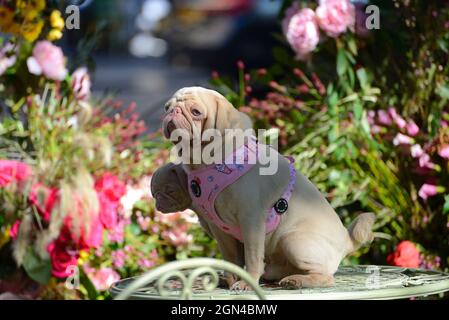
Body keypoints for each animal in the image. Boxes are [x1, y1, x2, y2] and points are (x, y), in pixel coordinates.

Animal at [158, 87, 374, 290]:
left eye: (196, 112)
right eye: (166, 107)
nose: (173, 111)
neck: (207, 163)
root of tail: (346, 240)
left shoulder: (251, 220)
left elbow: (252, 257)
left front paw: (248, 283)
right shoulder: (220, 229)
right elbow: (231, 258)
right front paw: (232, 279)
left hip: (292, 240)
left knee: (326, 277)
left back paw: (297, 281)